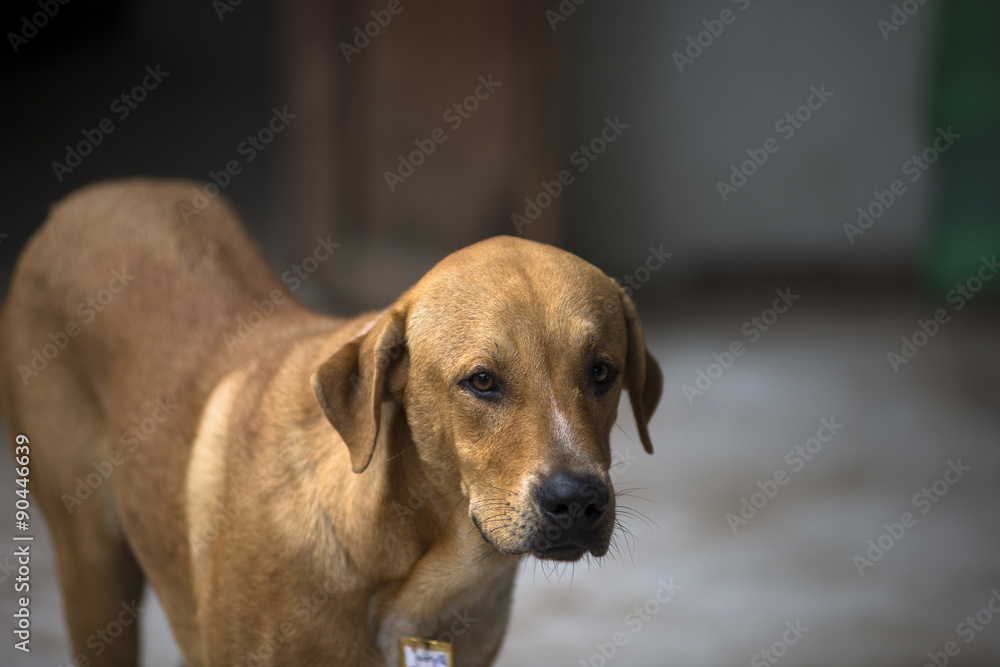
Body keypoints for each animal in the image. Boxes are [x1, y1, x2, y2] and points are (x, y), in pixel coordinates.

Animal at [0, 179, 660, 667]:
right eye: (482, 381)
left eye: (602, 371)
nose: (577, 501)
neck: (418, 576)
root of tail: (85, 199)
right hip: (94, 569)